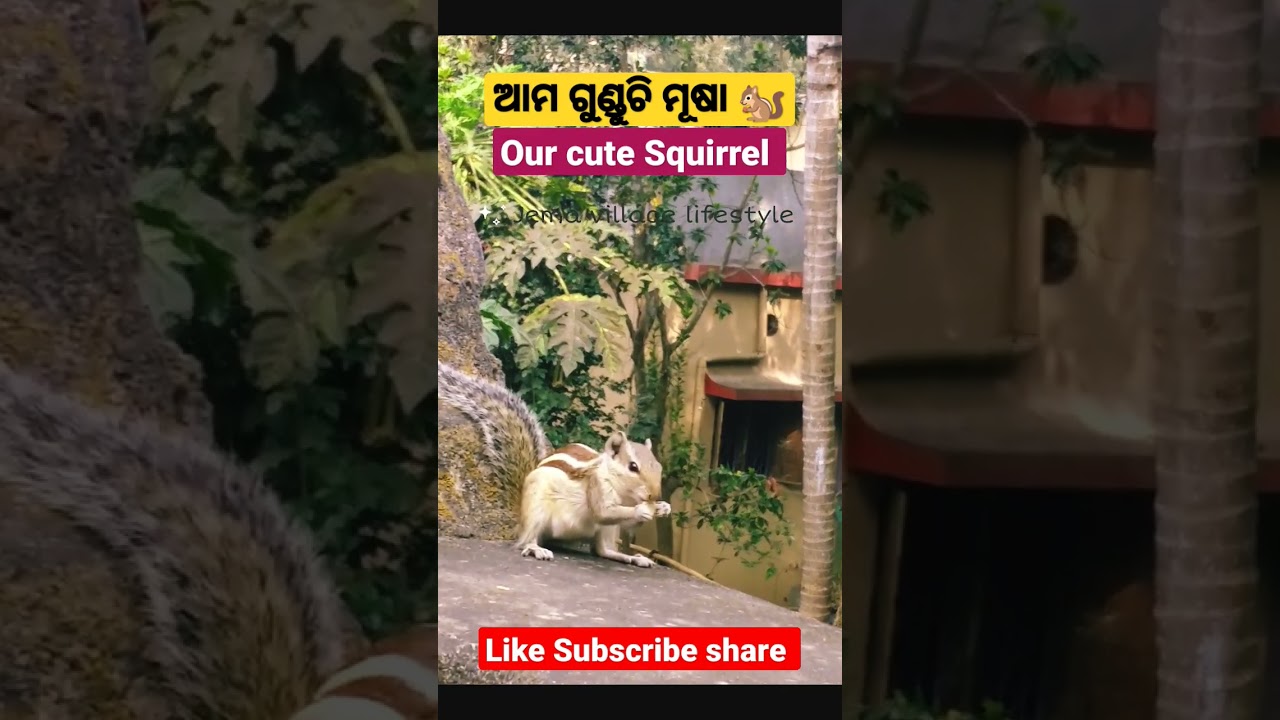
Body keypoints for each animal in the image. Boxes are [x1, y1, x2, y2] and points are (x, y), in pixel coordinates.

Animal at [438, 360, 671, 567]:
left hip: (605, 531)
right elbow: (603, 512)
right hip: (536, 509)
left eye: (659, 467)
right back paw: (535, 548)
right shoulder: (597, 486)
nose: (655, 495)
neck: (625, 494)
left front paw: (663, 507)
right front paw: (641, 510)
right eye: (633, 467)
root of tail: (520, 517)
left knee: (603, 550)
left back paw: (633, 558)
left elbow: (626, 524)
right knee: (527, 539)